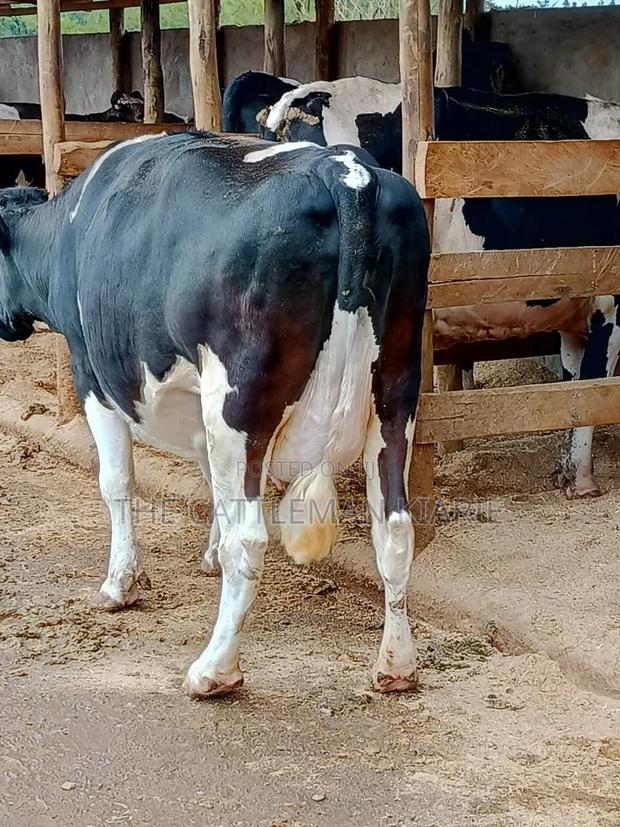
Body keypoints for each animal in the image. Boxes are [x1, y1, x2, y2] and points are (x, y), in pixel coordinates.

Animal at [0, 133, 429, 697]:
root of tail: (345, 170)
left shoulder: (91, 374)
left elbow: (116, 482)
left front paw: (119, 585)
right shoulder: (198, 404)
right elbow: (210, 484)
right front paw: (206, 555)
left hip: (240, 402)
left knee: (249, 540)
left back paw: (214, 670)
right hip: (395, 394)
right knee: (395, 527)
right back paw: (396, 665)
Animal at [266, 78, 620, 498]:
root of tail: (306, 96)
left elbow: (572, 390)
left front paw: (564, 471)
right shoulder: (612, 304)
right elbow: (594, 388)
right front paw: (582, 481)